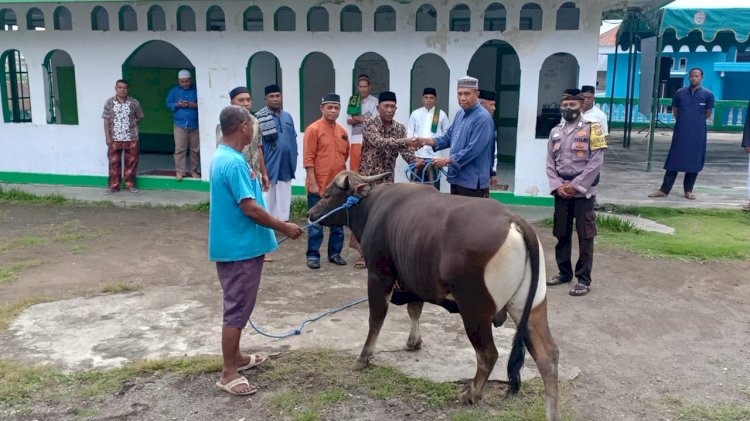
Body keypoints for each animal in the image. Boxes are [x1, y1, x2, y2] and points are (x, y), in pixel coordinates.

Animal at [308, 171, 560, 420]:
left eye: (327, 194)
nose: (311, 214)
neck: (371, 206)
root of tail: (514, 221)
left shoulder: (379, 276)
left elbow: (376, 318)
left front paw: (363, 357)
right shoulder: (413, 281)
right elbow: (414, 310)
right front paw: (413, 342)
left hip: (475, 311)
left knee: (488, 354)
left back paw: (472, 393)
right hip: (530, 306)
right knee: (547, 356)